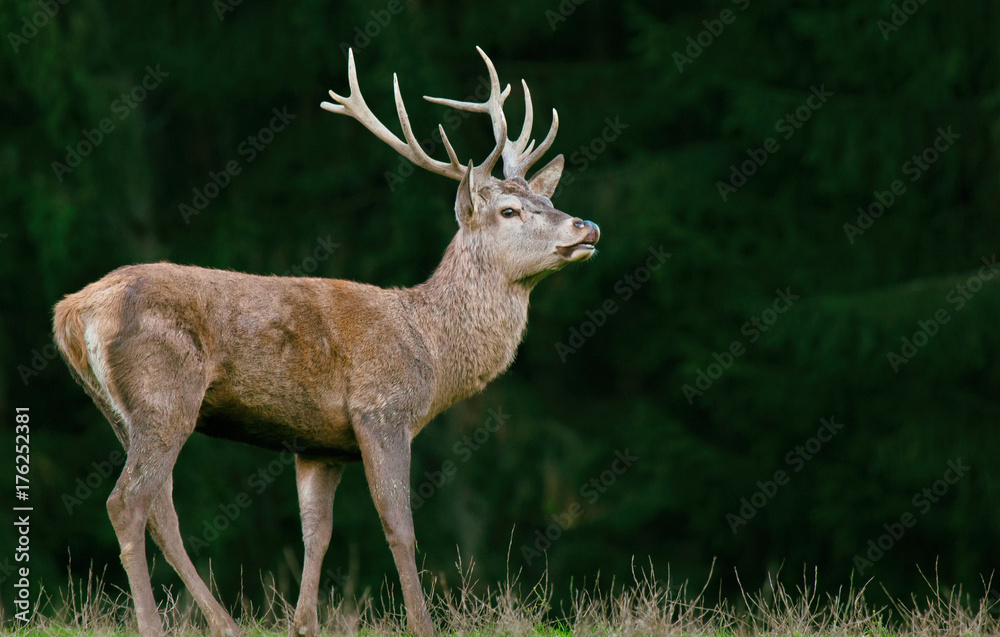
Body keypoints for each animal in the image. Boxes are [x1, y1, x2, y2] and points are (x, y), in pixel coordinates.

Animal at [54, 48, 596, 636]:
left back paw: (224, 622)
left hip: (119, 408)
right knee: (128, 502)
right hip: (164, 392)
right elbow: (399, 525)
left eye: (548, 196)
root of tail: (70, 312)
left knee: (161, 510)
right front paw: (421, 624)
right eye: (509, 211)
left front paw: (304, 624)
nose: (585, 227)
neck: (429, 345)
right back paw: (154, 624)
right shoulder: (381, 409)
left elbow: (317, 533)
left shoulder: (318, 443)